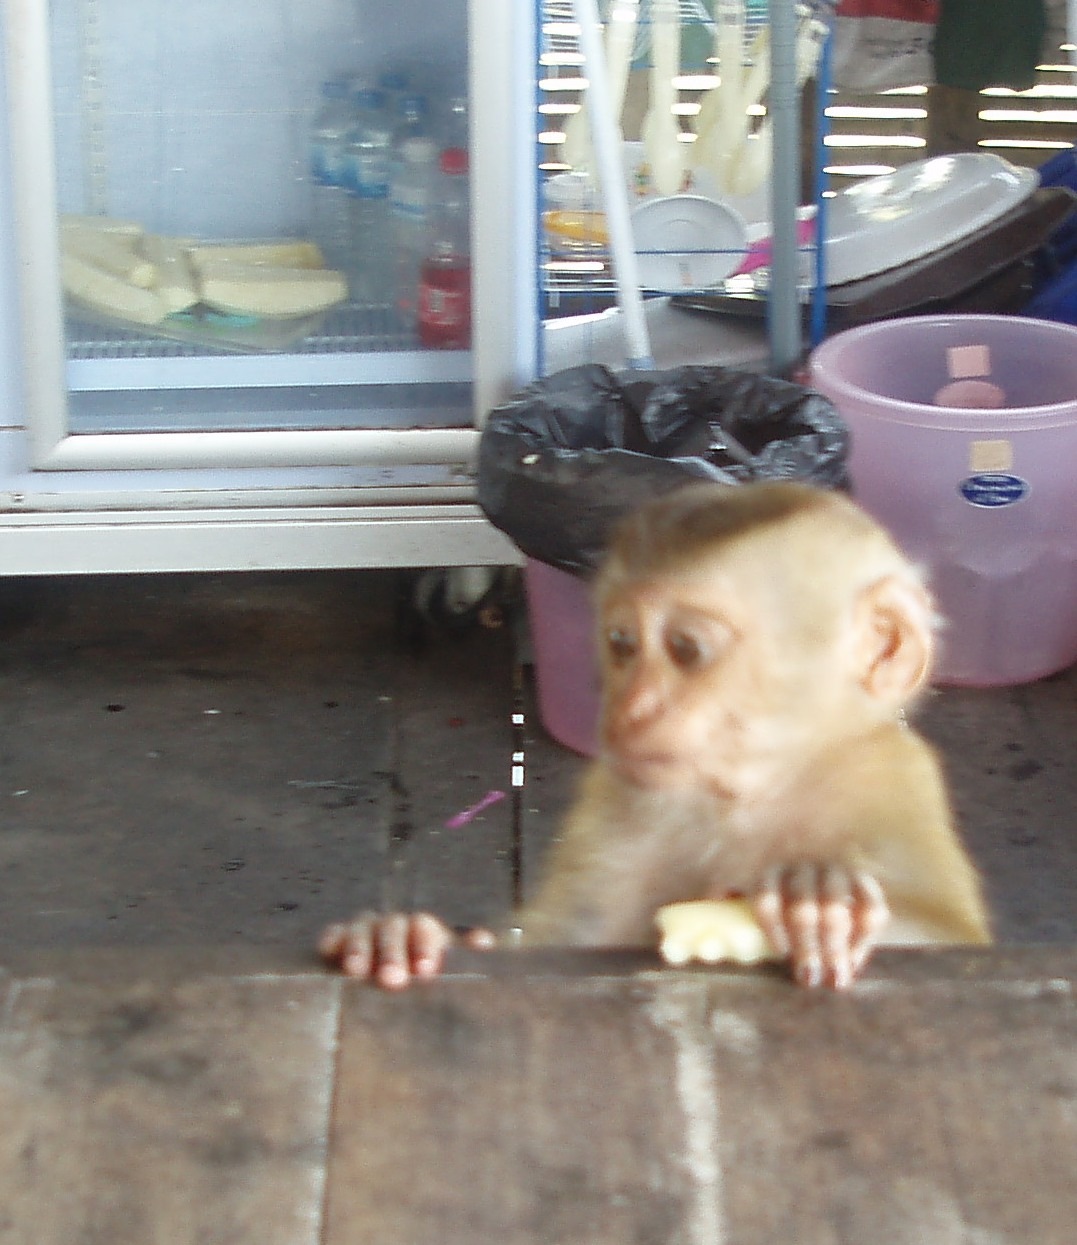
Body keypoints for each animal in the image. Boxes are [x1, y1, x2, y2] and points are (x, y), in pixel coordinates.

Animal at [319, 480, 991, 991]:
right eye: (622, 644)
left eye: (686, 649)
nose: (629, 709)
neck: (752, 796)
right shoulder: (615, 800)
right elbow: (570, 938)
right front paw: (396, 937)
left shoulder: (893, 785)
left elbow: (957, 943)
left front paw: (827, 906)